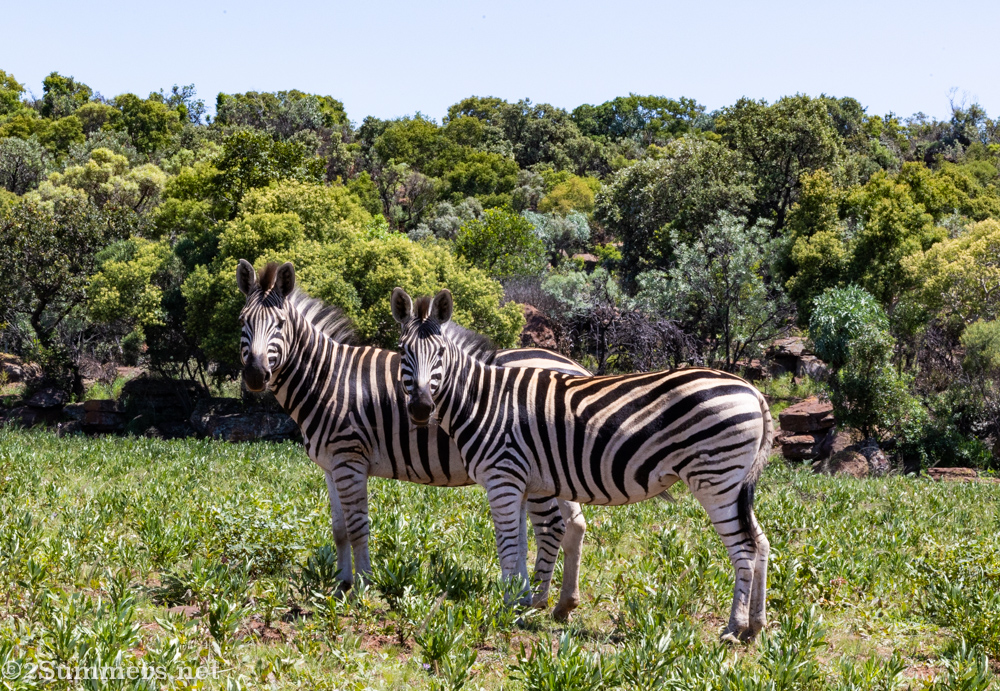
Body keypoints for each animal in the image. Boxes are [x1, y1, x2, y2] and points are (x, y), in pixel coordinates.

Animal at [236, 260, 589, 620]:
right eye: (242, 321)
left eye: (280, 324)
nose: (255, 375)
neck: (329, 381)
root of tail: (575, 367)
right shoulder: (330, 466)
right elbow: (339, 529)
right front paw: (340, 586)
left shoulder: (350, 460)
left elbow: (357, 527)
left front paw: (362, 589)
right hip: (559, 468)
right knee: (574, 525)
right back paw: (564, 604)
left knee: (551, 527)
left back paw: (538, 601)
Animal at [390, 287, 774, 641]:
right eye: (402, 352)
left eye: (440, 353)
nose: (421, 408)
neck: (482, 400)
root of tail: (753, 391)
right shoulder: (518, 482)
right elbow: (519, 546)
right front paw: (519, 602)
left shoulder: (502, 478)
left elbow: (508, 545)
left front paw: (508, 607)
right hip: (736, 484)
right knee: (760, 542)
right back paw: (755, 626)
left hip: (715, 479)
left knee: (743, 549)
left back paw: (733, 628)